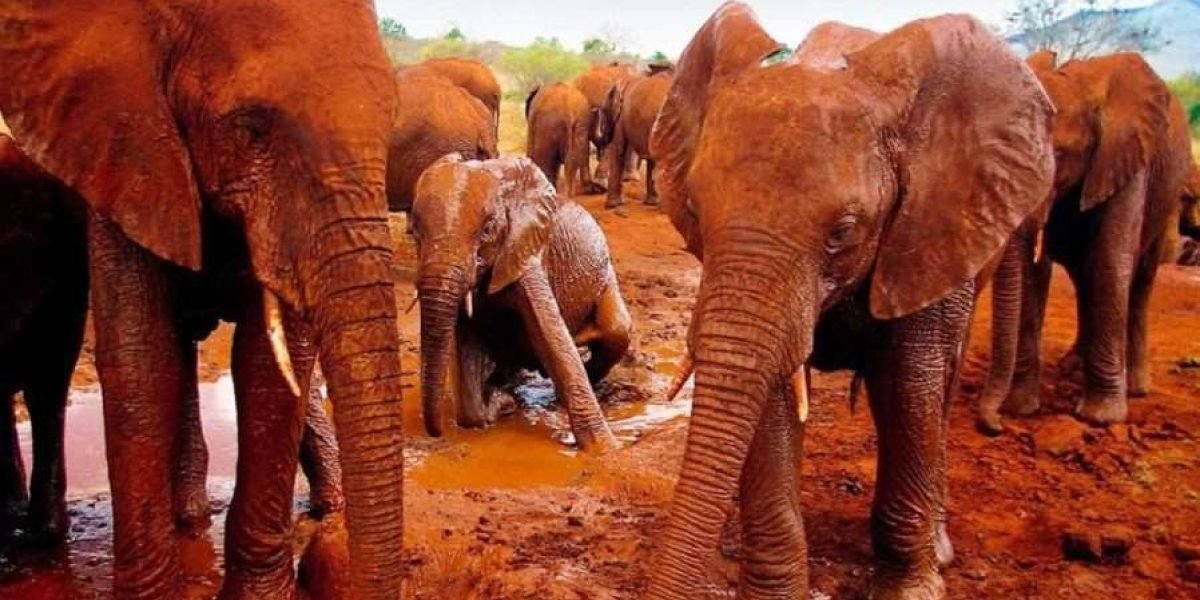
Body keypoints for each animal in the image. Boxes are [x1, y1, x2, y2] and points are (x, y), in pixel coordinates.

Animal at [410, 154, 630, 451]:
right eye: (414, 232)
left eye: (487, 230)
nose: (435, 433)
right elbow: (466, 353)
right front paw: (499, 405)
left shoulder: (526, 253)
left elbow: (555, 340)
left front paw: (605, 450)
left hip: (606, 278)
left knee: (617, 331)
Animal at [602, 70, 672, 209]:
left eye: (605, 110)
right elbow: (651, 159)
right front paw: (651, 203)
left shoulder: (621, 118)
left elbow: (618, 150)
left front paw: (612, 206)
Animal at [645, 4, 1054, 599]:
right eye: (695, 212)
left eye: (842, 232)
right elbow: (774, 388)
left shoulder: (929, 225)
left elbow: (907, 383)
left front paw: (912, 589)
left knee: (938, 388)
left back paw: (940, 546)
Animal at [977, 51, 1193, 433]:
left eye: (1060, 155)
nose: (995, 425)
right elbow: (1034, 275)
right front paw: (1021, 409)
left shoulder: (1126, 156)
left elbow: (1109, 262)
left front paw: (1100, 417)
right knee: (1082, 276)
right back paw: (1073, 366)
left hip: (1168, 195)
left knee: (1139, 279)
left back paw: (1135, 387)